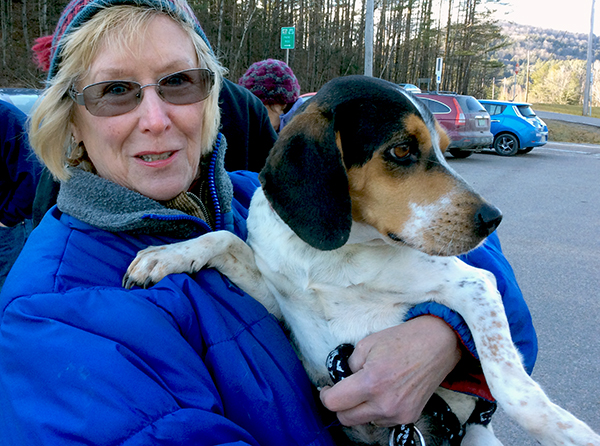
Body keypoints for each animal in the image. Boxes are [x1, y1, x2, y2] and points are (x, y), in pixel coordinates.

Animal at [124, 76, 596, 446]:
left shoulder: (473, 284)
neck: (334, 256)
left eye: (444, 148)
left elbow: (510, 384)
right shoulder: (280, 302)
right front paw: (163, 256)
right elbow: (223, 238)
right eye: (402, 150)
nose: (492, 219)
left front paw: (569, 432)